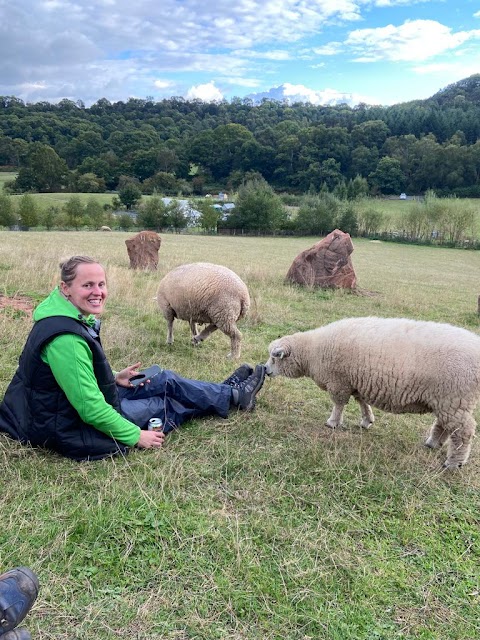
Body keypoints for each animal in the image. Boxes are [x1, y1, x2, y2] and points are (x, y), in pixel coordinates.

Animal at [264, 318, 480, 468]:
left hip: (455, 397)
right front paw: (367, 420)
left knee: (464, 431)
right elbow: (362, 401)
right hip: (446, 401)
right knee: (445, 425)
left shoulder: (339, 382)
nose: (265, 370)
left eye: (275, 358)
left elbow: (339, 404)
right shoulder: (356, 382)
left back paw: (454, 462)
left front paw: (333, 422)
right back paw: (433, 443)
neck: (312, 352)